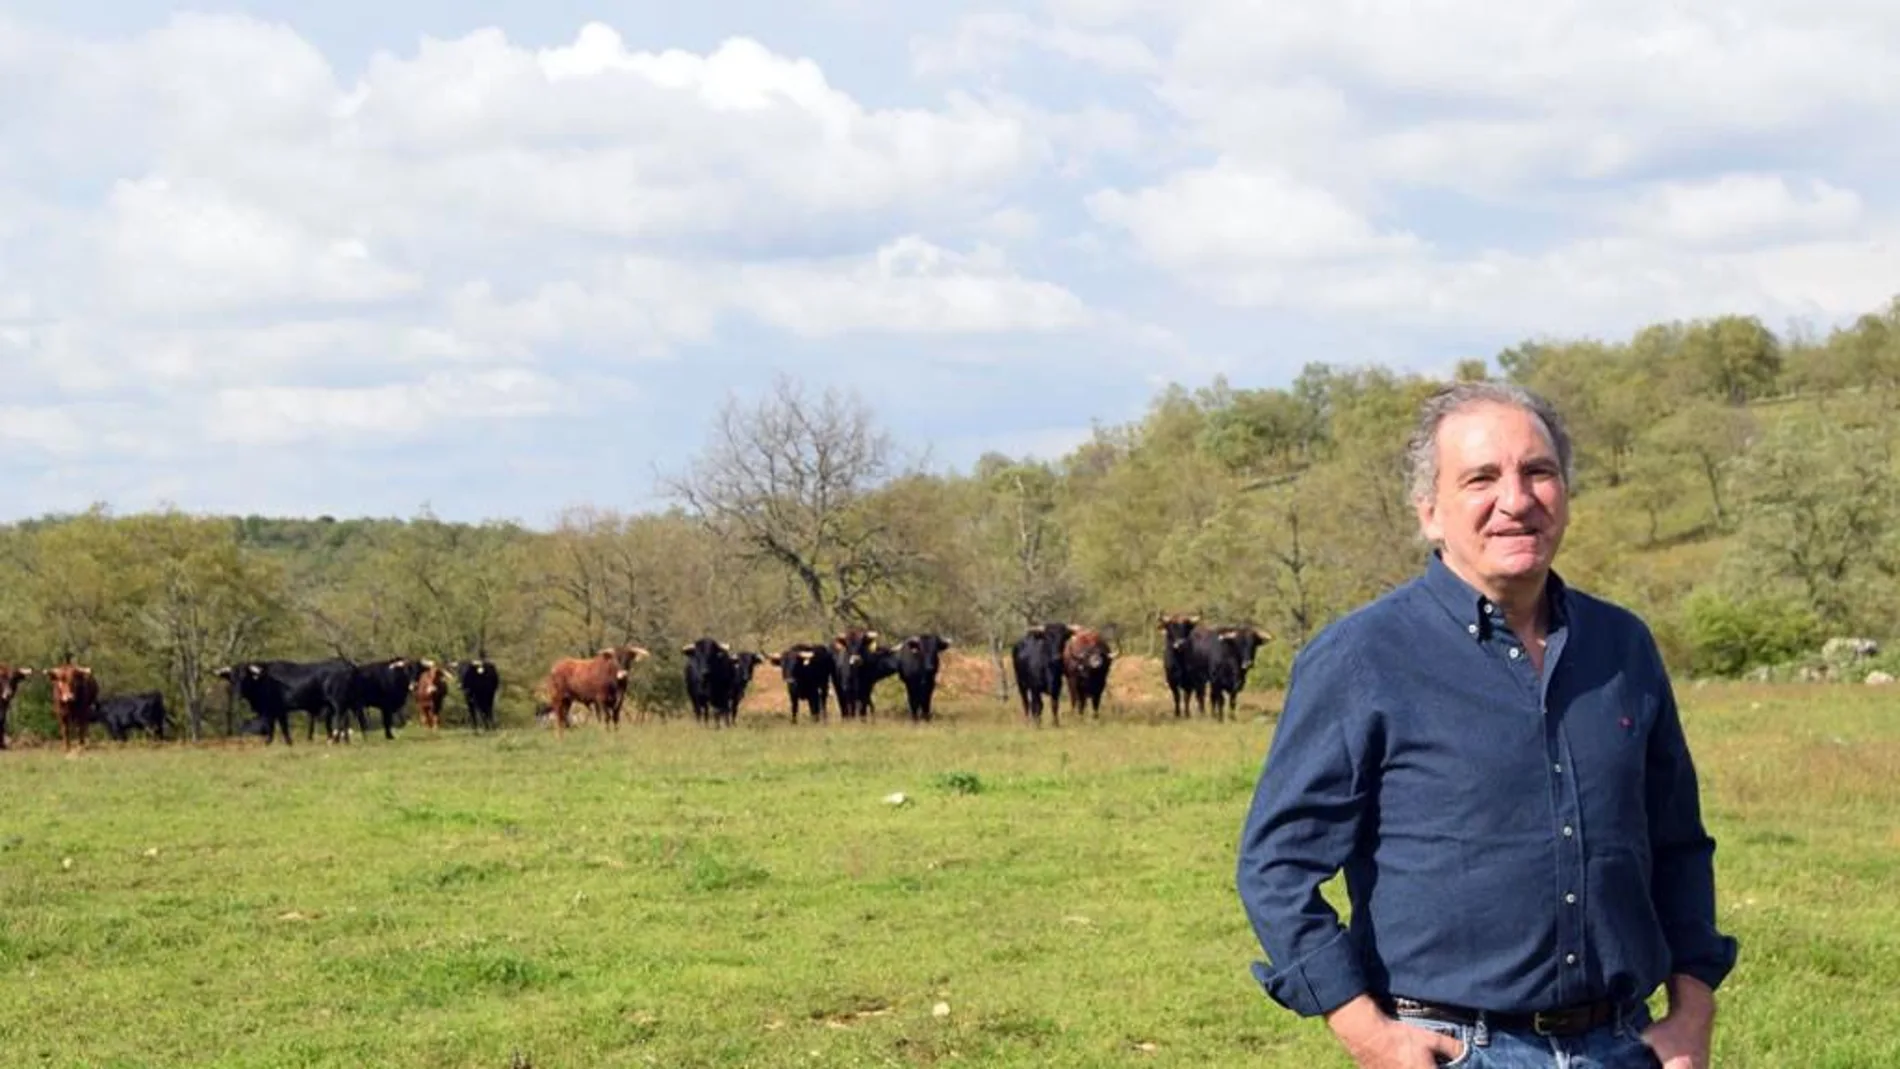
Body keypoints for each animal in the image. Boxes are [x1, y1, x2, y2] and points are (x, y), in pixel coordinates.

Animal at [218, 660, 359, 744]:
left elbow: (275, 726)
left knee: (339, 719)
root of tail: (345, 663)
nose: (238, 694)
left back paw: (334, 740)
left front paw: (270, 741)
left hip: (337, 702)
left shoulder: (272, 710)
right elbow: (280, 726)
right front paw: (286, 742)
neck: (264, 680)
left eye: (245, 677)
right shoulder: (278, 711)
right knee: (345, 720)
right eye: (232, 679)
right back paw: (345, 741)